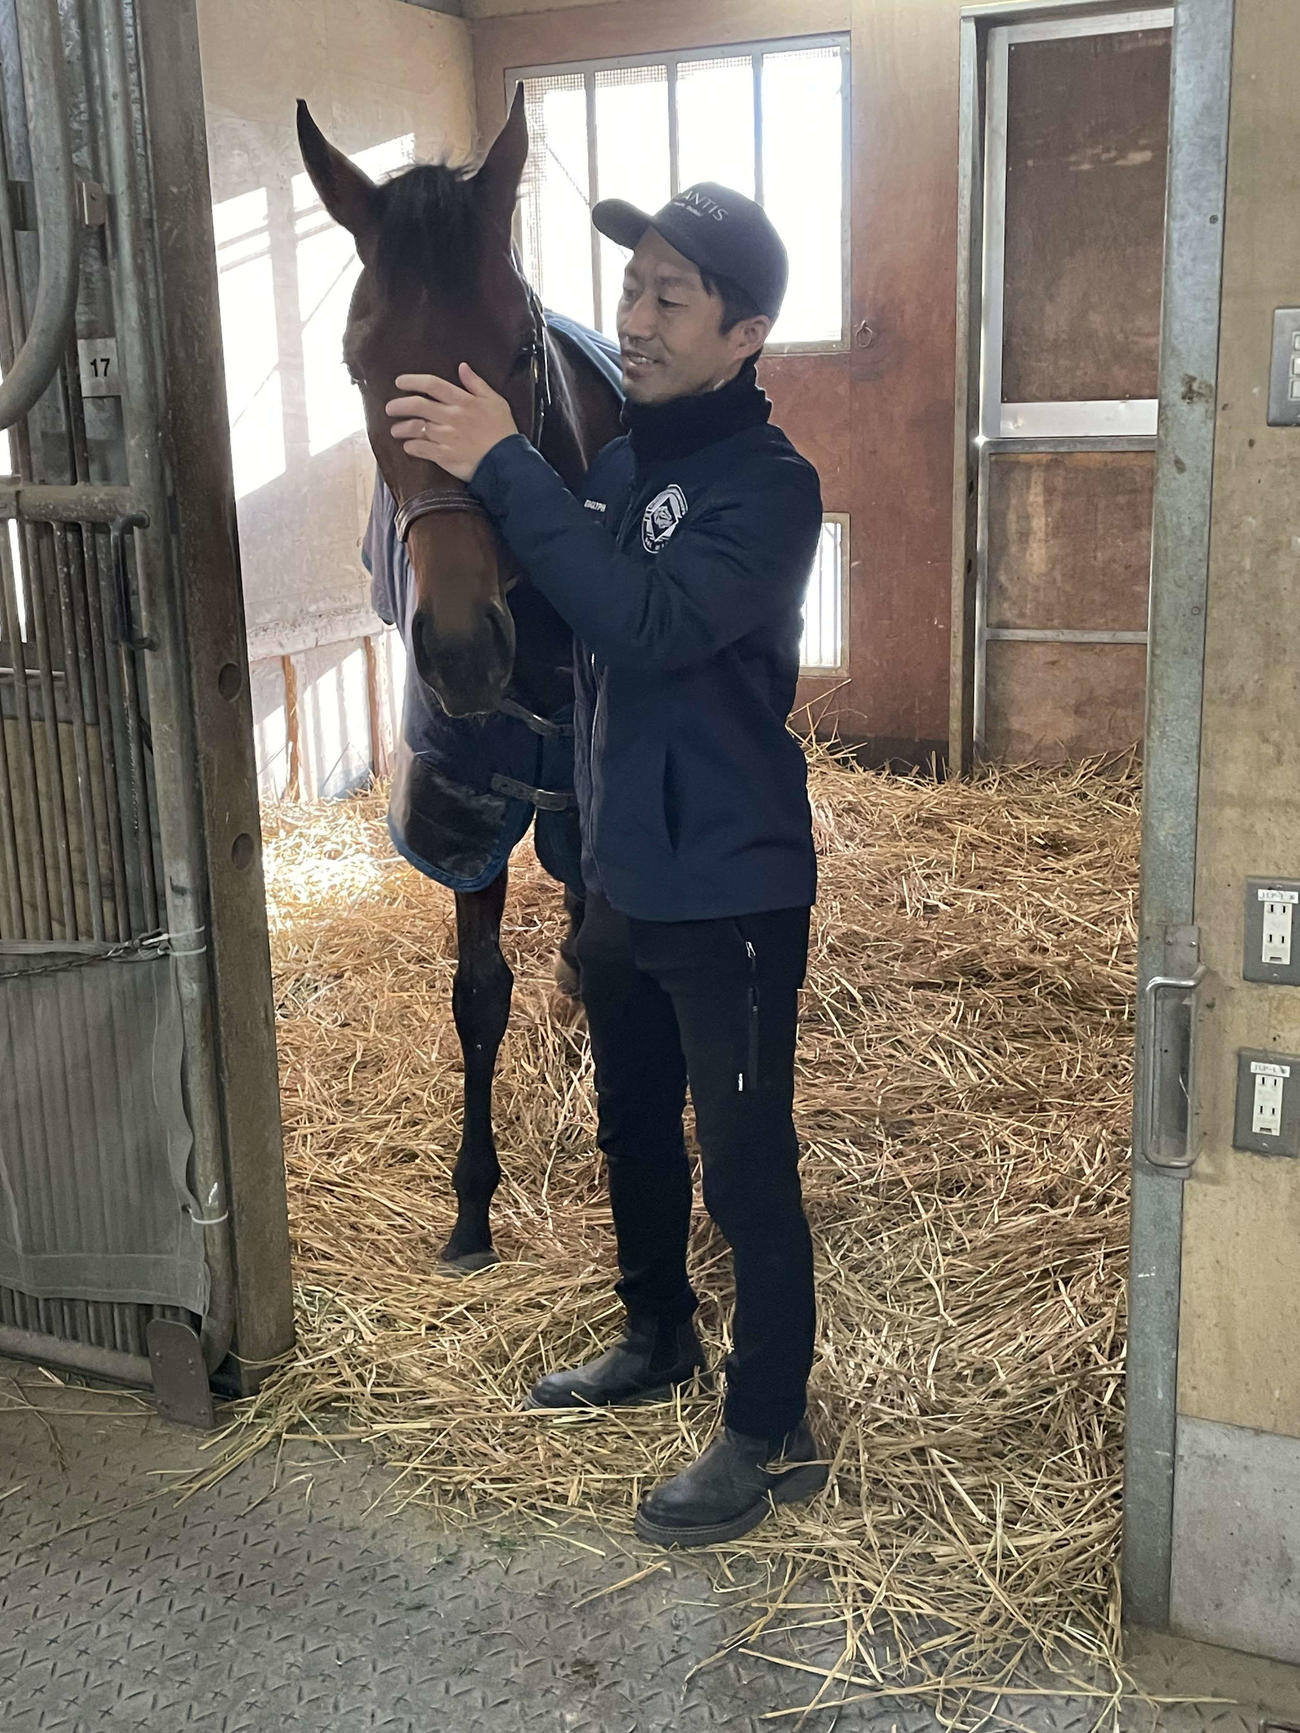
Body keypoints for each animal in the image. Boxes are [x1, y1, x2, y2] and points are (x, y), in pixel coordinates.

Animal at [296, 91, 625, 1272]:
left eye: (518, 353)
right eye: (358, 365)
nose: (460, 646)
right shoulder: (465, 796)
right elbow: (478, 994)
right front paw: (472, 1205)